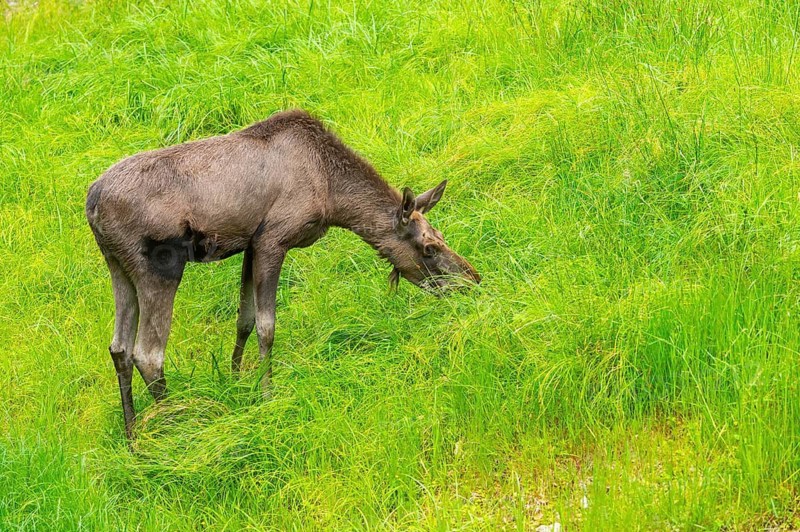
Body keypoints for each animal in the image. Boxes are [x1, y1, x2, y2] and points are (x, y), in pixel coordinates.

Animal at [85, 109, 480, 440]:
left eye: (440, 237)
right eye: (429, 248)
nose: (472, 281)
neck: (333, 194)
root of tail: (92, 204)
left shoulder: (249, 244)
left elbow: (243, 320)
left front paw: (235, 382)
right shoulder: (273, 240)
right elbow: (267, 327)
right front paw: (266, 394)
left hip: (118, 265)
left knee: (119, 348)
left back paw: (132, 436)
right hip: (161, 265)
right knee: (148, 354)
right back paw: (177, 426)